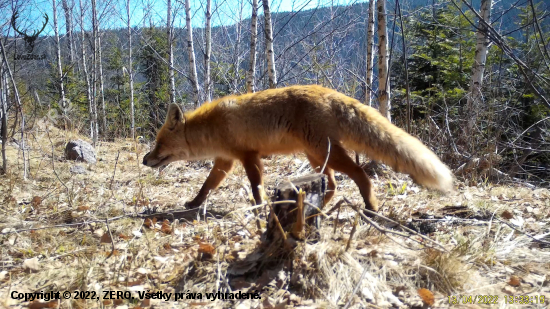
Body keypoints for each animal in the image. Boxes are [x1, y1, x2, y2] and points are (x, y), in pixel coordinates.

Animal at [142, 85, 452, 212]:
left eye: (159, 144)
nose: (145, 160)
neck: (214, 127)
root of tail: (329, 92)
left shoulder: (249, 156)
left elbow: (256, 187)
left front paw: (260, 207)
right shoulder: (225, 160)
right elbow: (207, 186)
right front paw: (194, 204)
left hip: (326, 154)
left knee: (361, 176)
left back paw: (371, 207)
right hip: (316, 157)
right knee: (332, 186)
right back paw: (315, 209)